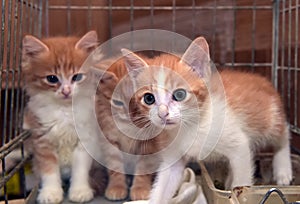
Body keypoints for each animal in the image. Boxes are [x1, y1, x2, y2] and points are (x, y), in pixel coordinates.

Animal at [22, 31, 99, 203]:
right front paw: (50, 193)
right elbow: (49, 171)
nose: (66, 91)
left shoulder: (84, 140)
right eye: (52, 78)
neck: (64, 111)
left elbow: (80, 170)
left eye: (76, 77)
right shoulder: (43, 141)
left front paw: (80, 191)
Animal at [120, 37, 292, 204]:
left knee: (284, 133)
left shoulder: (238, 143)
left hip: (270, 120)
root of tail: (264, 79)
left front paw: (240, 194)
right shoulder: (174, 157)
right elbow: (164, 185)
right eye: (149, 98)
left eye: (179, 94)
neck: (190, 126)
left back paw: (283, 170)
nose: (163, 114)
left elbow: (242, 180)